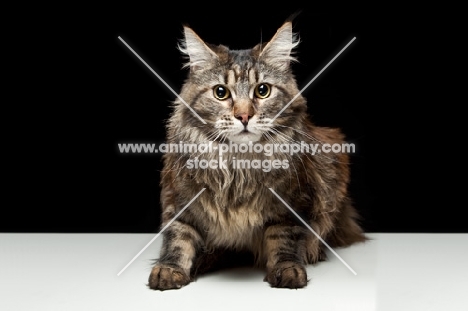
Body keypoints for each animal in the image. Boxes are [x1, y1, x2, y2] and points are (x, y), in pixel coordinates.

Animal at [148, 20, 368, 292]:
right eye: (221, 92)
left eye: (262, 90)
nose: (244, 116)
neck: (238, 165)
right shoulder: (179, 198)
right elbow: (178, 236)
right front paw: (169, 269)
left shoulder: (292, 202)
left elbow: (283, 237)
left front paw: (287, 269)